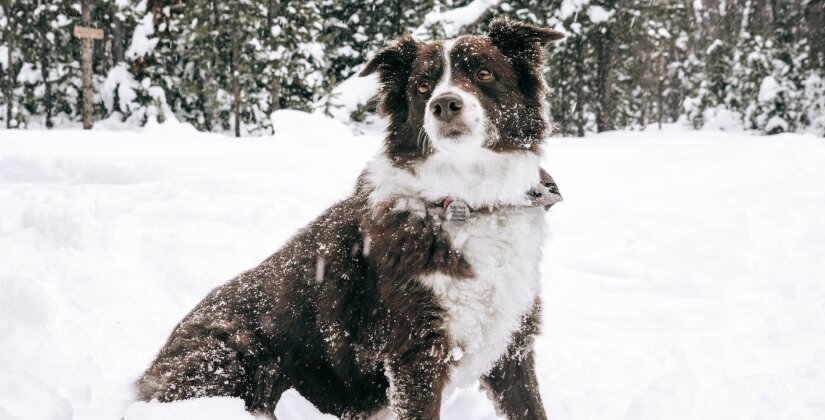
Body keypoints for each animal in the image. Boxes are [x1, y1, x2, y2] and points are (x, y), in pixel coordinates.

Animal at [140, 18, 568, 420]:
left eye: (483, 73)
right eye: (423, 86)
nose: (444, 104)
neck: (465, 200)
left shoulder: (512, 345)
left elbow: (531, 408)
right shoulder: (416, 354)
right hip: (231, 351)